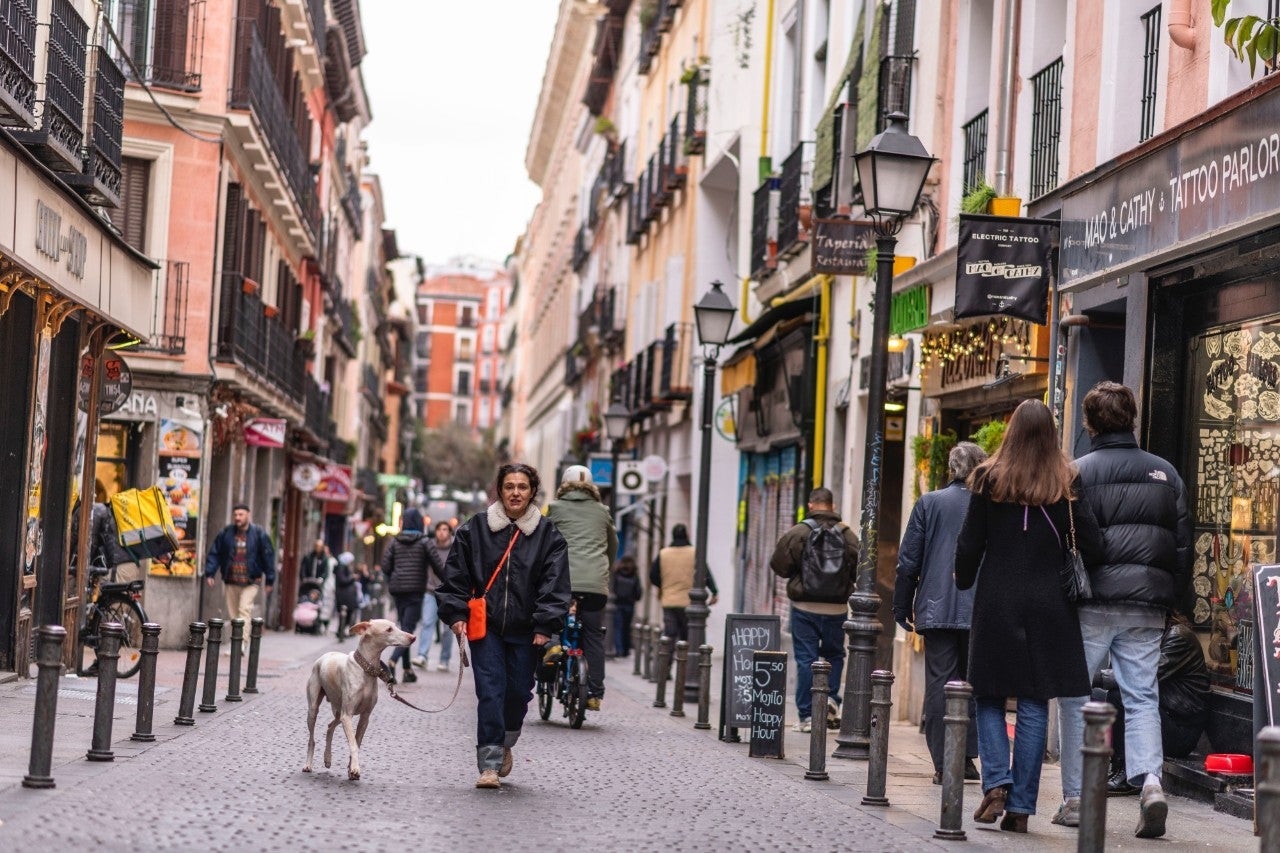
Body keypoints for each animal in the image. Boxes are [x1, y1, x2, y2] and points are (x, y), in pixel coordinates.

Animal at [304, 617, 414, 778]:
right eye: (389, 629)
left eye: (396, 626)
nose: (413, 637)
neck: (366, 670)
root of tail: (325, 655)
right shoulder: (347, 715)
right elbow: (354, 745)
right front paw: (355, 768)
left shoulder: (364, 717)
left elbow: (357, 743)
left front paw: (351, 769)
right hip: (315, 710)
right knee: (312, 739)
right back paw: (308, 765)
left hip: (339, 712)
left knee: (330, 727)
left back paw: (327, 758)